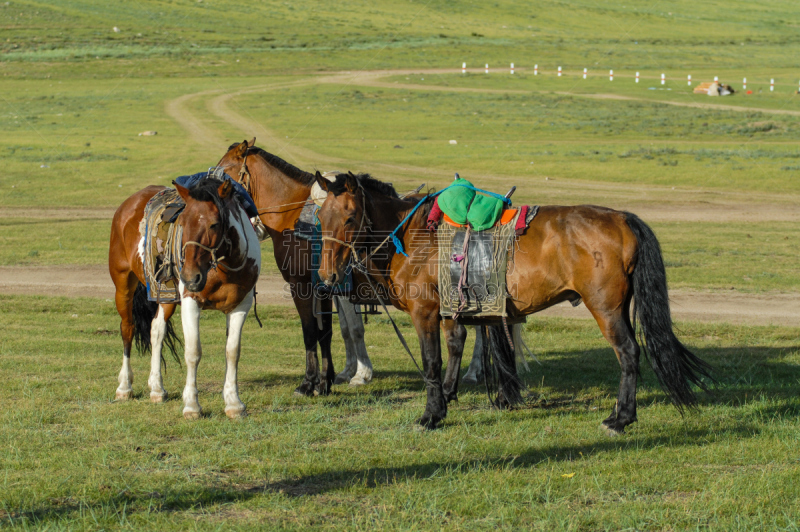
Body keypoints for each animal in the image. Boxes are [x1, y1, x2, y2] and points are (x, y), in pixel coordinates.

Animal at [108, 177, 260, 418]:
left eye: (214, 224)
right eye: (182, 223)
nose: (190, 277)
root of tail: (128, 204)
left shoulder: (240, 305)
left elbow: (232, 352)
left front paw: (234, 403)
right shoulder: (190, 301)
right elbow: (193, 351)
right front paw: (191, 405)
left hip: (167, 298)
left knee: (156, 330)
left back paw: (157, 389)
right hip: (123, 286)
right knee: (127, 330)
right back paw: (124, 386)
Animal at [312, 171, 712, 432]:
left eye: (350, 216)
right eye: (320, 216)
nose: (327, 275)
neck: (412, 238)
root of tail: (622, 219)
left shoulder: (425, 313)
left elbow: (431, 361)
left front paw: (431, 415)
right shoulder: (450, 311)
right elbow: (455, 347)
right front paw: (449, 397)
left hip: (606, 309)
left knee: (628, 353)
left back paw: (620, 418)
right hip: (620, 307)